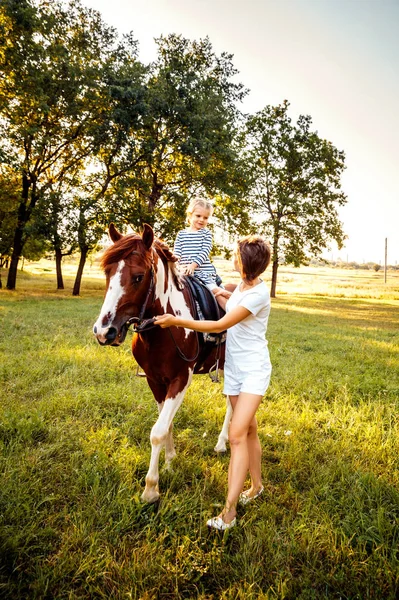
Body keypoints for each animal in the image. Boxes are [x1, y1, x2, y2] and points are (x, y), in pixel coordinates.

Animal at [93, 224, 231, 502]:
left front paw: (151, 489)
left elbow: (157, 431)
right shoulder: (156, 381)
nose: (104, 332)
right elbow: (165, 424)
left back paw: (222, 443)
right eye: (107, 272)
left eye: (138, 277)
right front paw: (169, 463)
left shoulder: (180, 380)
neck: (164, 327)